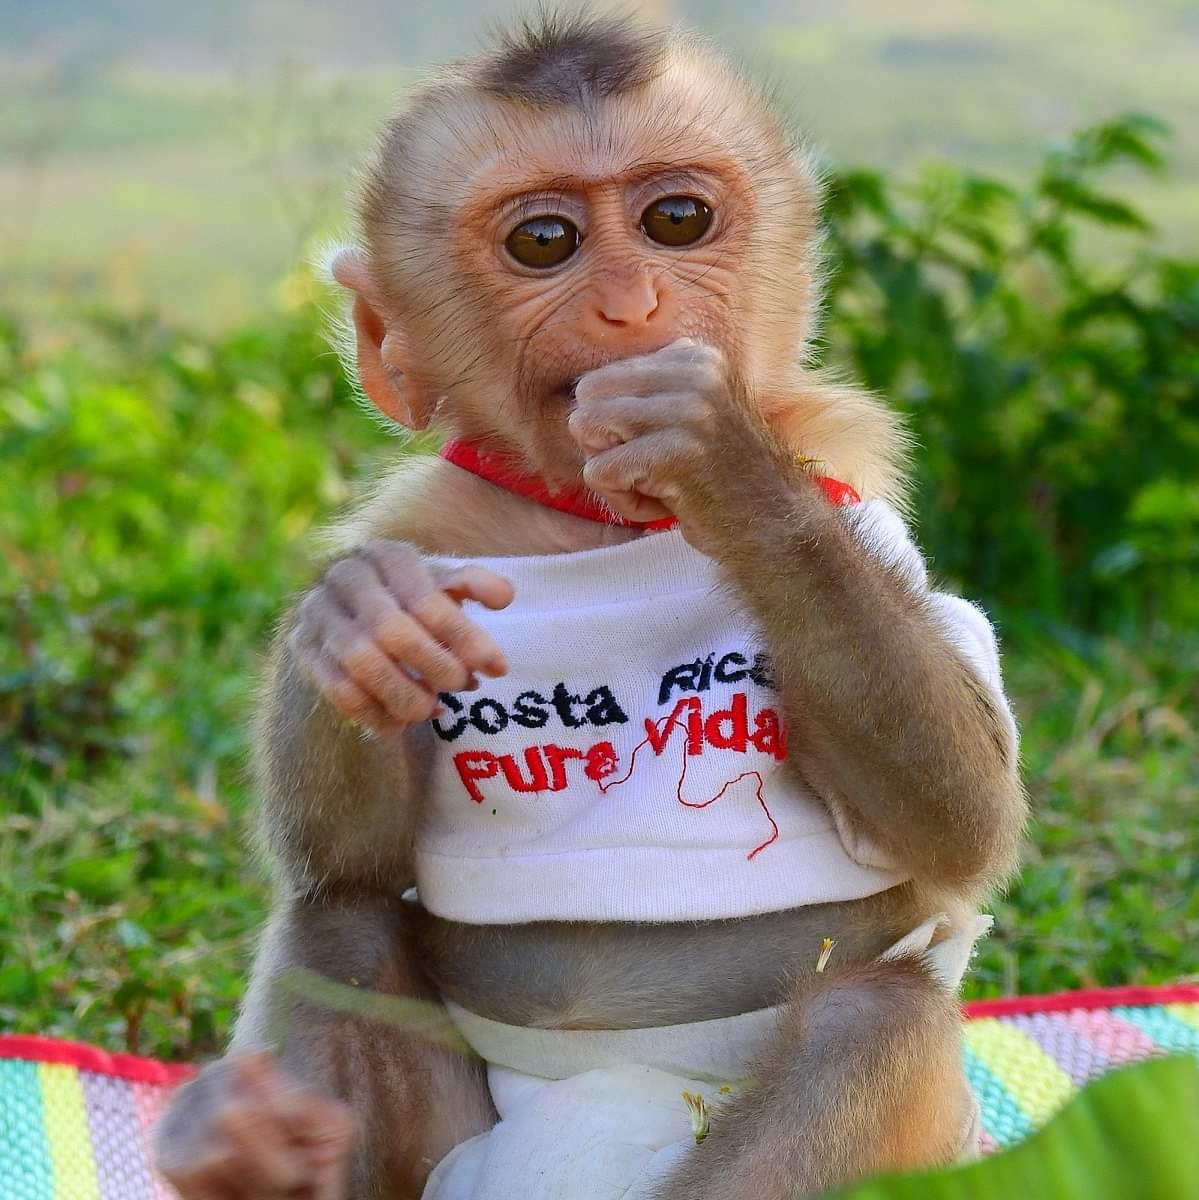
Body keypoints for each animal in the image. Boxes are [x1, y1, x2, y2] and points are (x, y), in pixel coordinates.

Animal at [154, 14, 1024, 1200]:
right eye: (543, 243)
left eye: (675, 221)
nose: (630, 306)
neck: (594, 526)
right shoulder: (430, 522)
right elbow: (350, 859)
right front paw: (357, 621)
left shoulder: (866, 511)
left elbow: (958, 819)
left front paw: (725, 463)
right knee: (344, 930)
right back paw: (258, 1158)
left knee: (874, 1015)